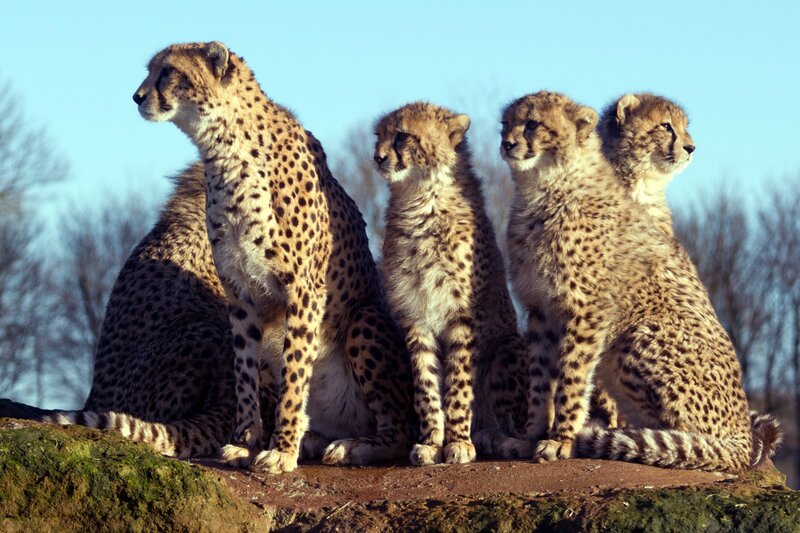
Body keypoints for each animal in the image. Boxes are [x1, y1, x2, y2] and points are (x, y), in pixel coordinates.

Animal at [133, 41, 413, 474]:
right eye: (151, 70)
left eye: (167, 71)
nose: (138, 96)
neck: (225, 150)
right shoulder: (241, 295)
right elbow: (245, 374)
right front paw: (246, 443)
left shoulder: (304, 290)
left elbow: (295, 374)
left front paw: (281, 450)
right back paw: (313, 440)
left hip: (363, 319)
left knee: (398, 430)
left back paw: (351, 446)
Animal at [374, 102, 526, 465]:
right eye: (378, 136)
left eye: (401, 136)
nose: (378, 157)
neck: (422, 201)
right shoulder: (415, 317)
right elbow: (427, 384)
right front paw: (431, 442)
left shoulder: (462, 316)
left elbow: (458, 381)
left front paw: (457, 442)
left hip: (507, 347)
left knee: (514, 425)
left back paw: (490, 437)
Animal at [496, 90, 779, 472]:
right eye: (505, 124)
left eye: (532, 124)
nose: (506, 143)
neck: (545, 187)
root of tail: (742, 439)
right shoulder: (541, 310)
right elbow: (541, 383)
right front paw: (530, 436)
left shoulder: (588, 310)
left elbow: (572, 378)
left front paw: (562, 440)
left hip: (637, 335)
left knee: (699, 444)